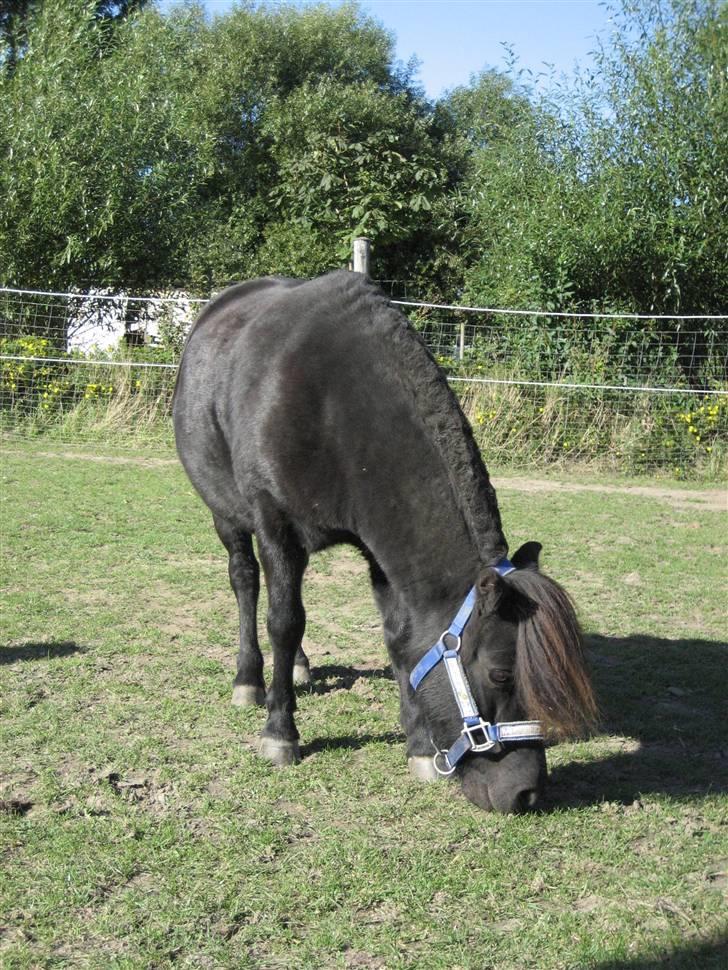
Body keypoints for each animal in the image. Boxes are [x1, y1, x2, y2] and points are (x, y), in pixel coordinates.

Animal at [173, 270, 596, 808]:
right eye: (501, 673)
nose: (526, 793)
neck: (335, 404)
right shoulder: (275, 528)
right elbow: (283, 622)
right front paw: (279, 733)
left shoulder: (381, 553)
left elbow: (400, 638)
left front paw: (419, 748)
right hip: (227, 516)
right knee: (246, 584)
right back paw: (250, 679)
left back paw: (299, 668)